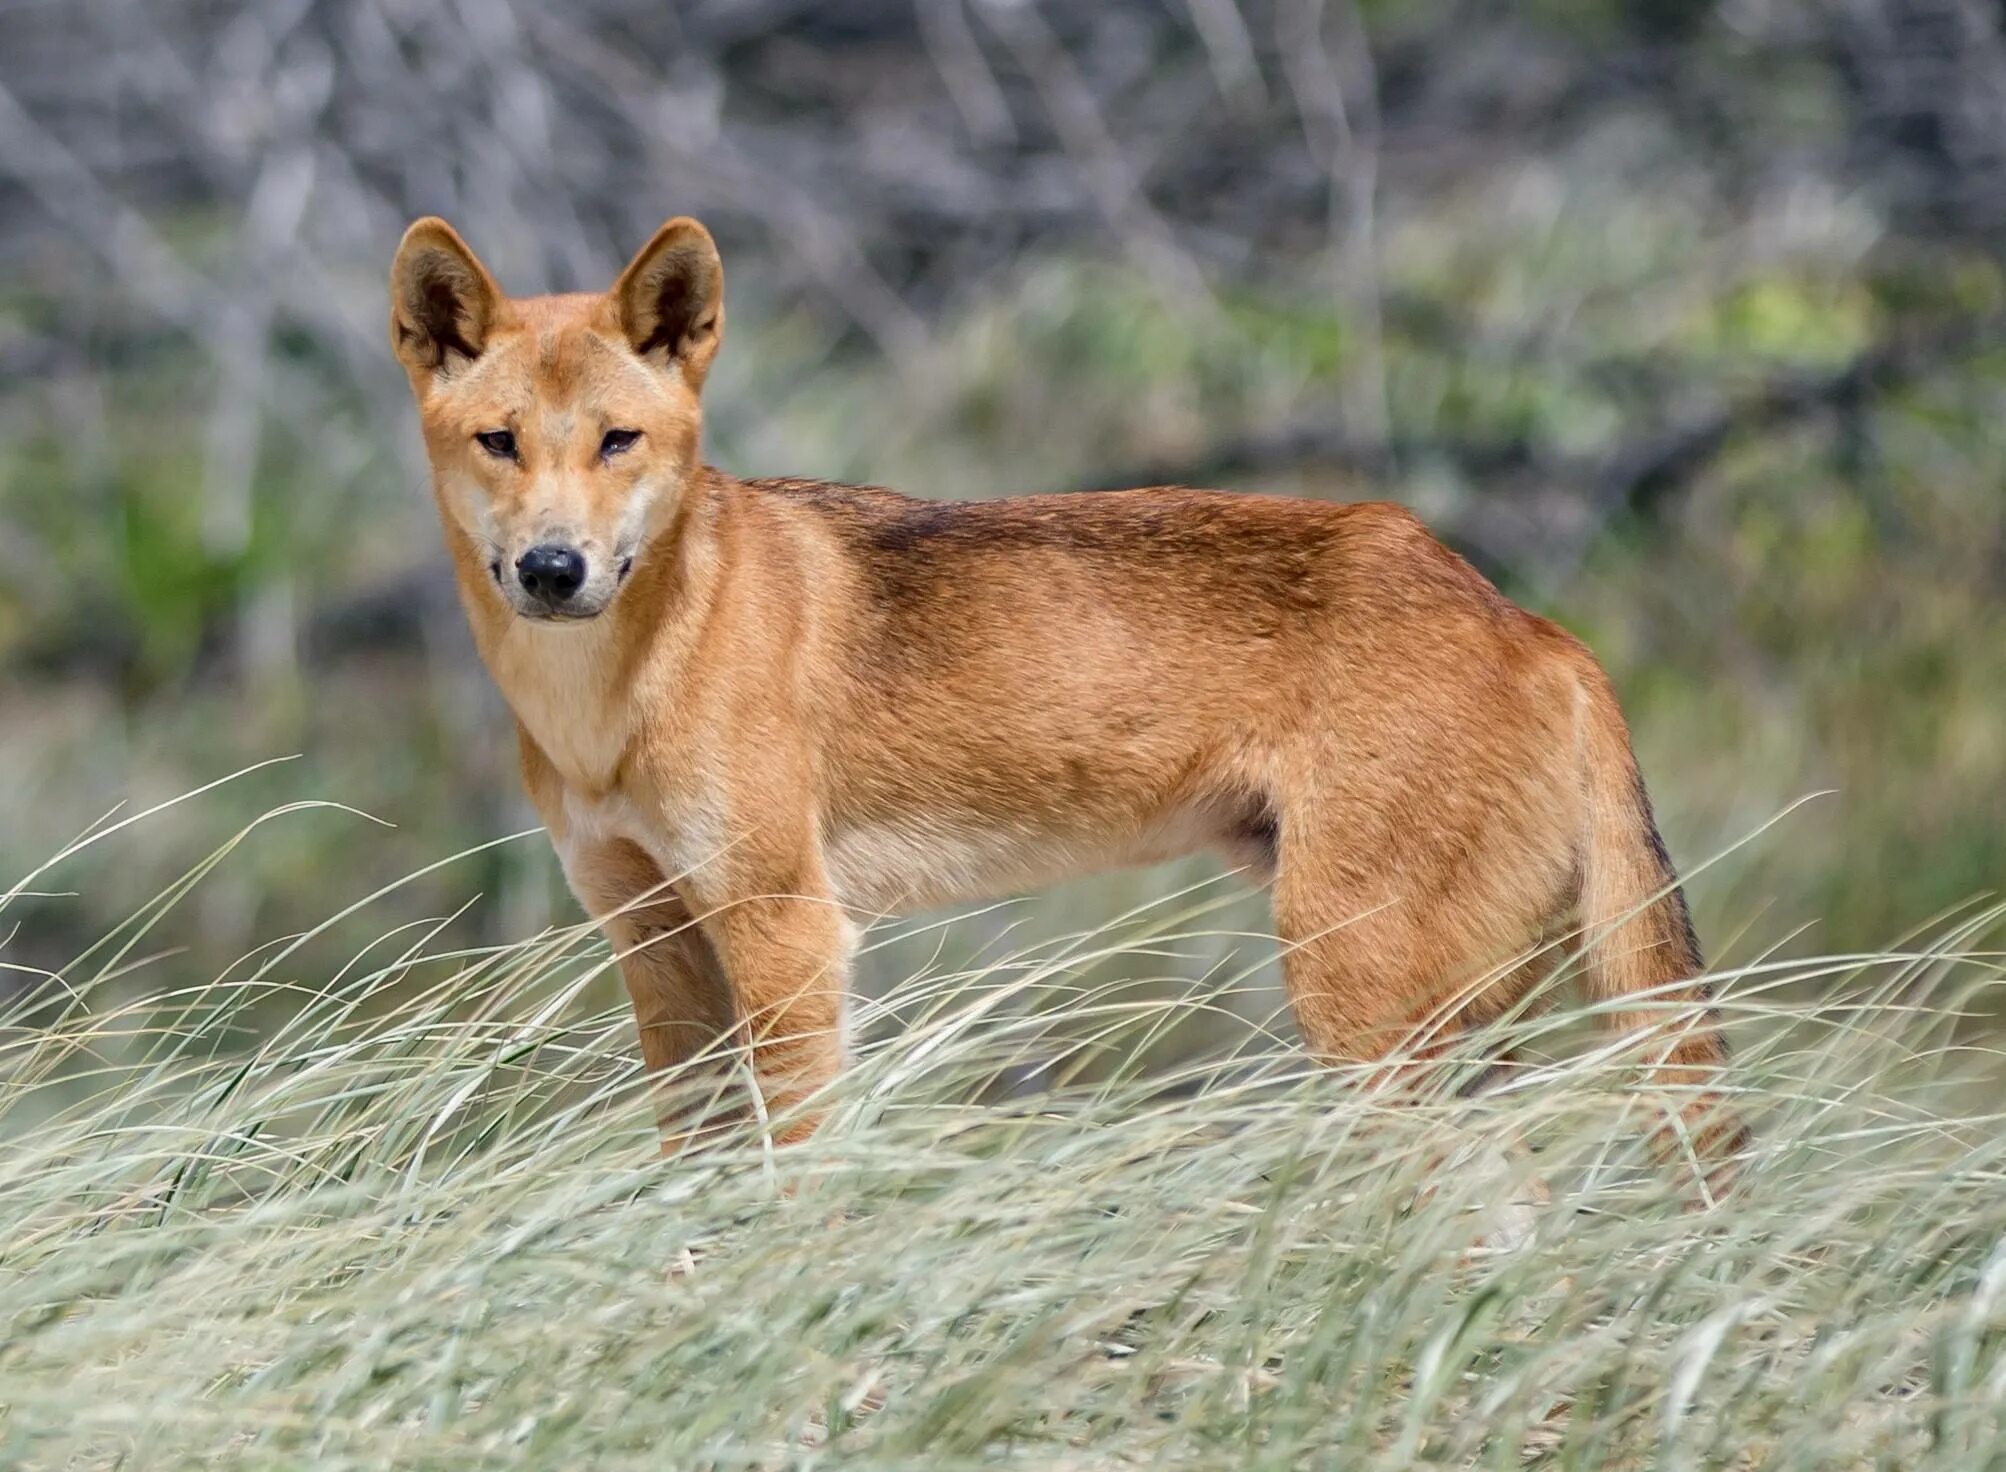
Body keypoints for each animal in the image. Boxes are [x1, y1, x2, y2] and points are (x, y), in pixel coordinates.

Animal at [387, 213, 1741, 1171]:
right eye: (500, 442)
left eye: (617, 441)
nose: (552, 569)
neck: (611, 699)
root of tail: (1539, 625)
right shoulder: (655, 941)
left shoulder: (787, 931)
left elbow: (793, 1172)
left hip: (1357, 996)